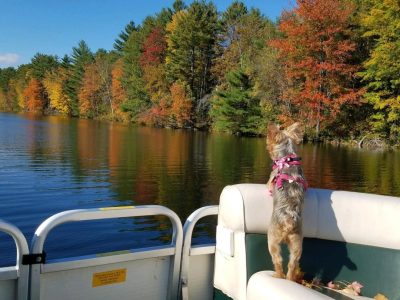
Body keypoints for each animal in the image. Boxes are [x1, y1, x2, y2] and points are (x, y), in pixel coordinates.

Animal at [268, 122, 308, 282]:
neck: (287, 159)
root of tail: (288, 221)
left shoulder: (271, 177)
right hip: (297, 242)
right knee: (293, 263)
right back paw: (290, 279)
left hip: (272, 238)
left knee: (278, 259)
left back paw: (277, 275)